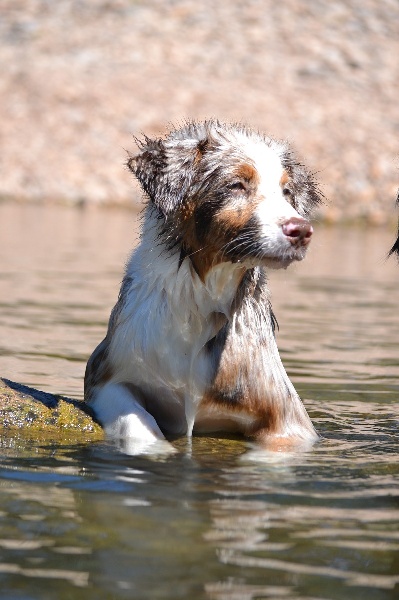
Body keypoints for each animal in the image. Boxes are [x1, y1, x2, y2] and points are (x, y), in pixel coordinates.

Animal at [86, 119, 324, 452]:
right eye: (237, 185)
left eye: (287, 192)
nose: (301, 230)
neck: (199, 299)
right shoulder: (106, 375)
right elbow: (138, 424)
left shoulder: (288, 419)